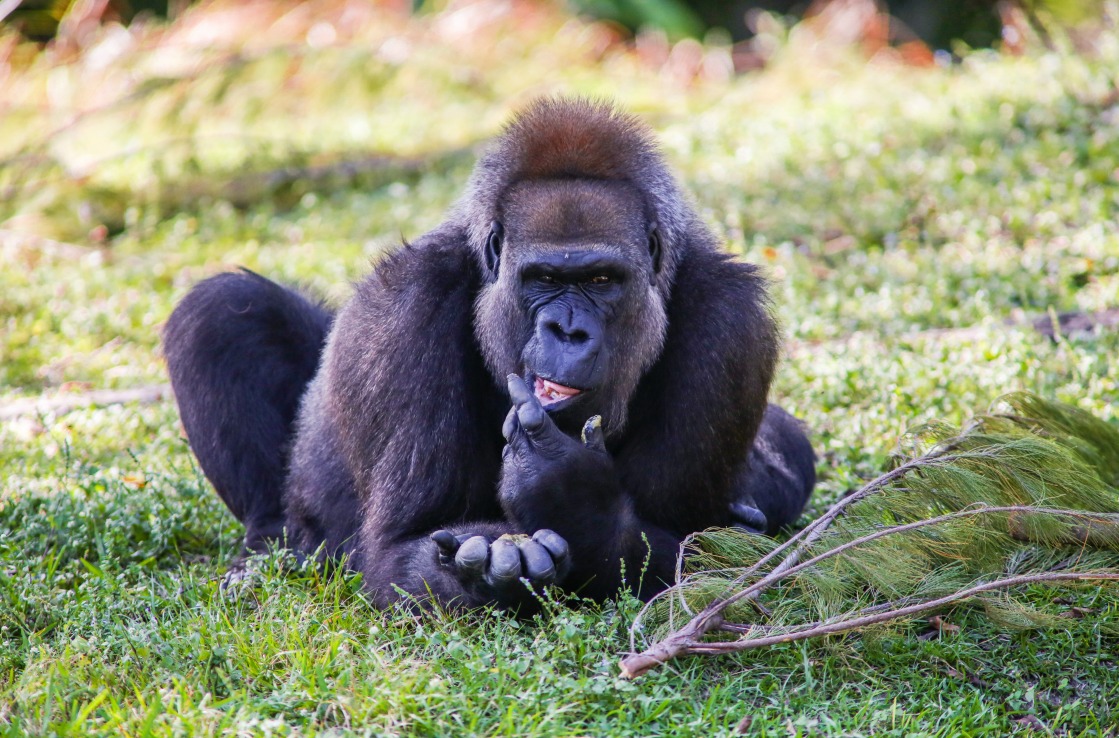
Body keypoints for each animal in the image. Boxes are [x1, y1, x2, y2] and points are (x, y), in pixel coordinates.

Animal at [163, 97, 814, 612]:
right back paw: (267, 552)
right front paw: (499, 566)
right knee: (223, 311)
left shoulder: (732, 326)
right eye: (543, 279)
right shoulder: (407, 305)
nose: (567, 331)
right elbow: (397, 550)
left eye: (602, 280)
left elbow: (703, 550)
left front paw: (579, 505)